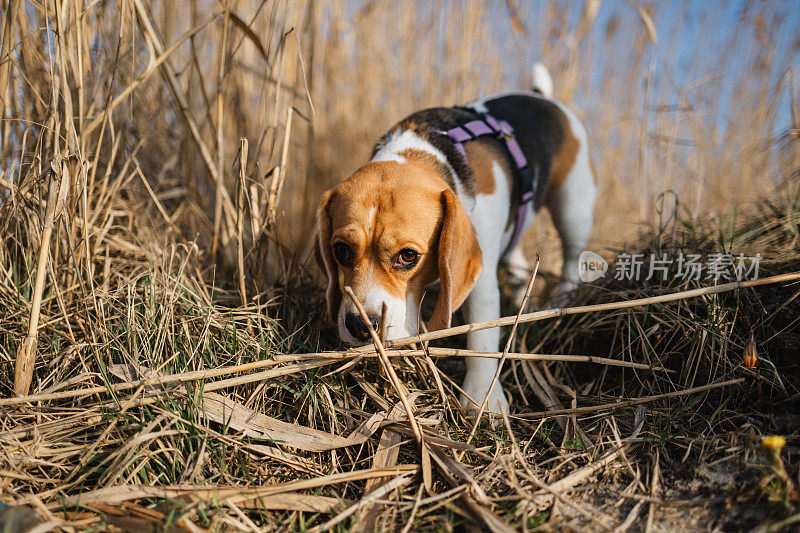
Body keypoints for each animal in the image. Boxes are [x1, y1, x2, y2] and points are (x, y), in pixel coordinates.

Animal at [318, 64, 592, 414]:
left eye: (408, 256)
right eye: (341, 251)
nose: (359, 326)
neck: (421, 153)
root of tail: (540, 96)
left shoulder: (482, 277)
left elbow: (481, 336)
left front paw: (483, 397)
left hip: (573, 207)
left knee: (572, 258)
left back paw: (562, 301)